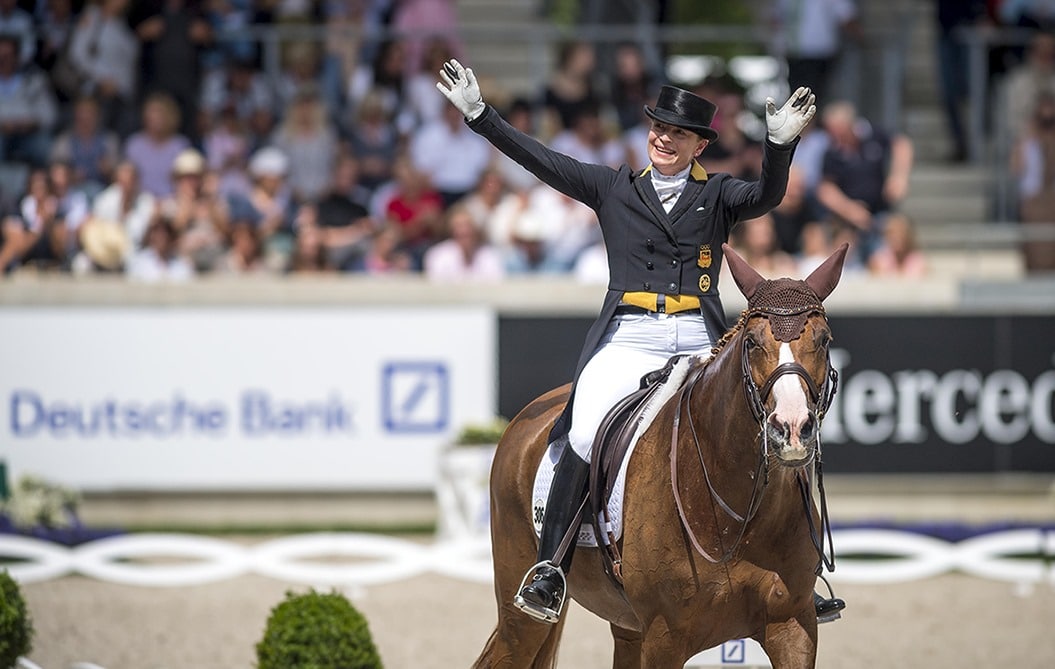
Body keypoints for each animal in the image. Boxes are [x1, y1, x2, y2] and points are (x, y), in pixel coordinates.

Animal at [474, 242, 852, 662]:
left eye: (824, 339)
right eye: (752, 342)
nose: (791, 429)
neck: (738, 511)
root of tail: (528, 417)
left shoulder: (792, 626)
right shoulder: (664, 636)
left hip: (628, 626)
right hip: (522, 618)